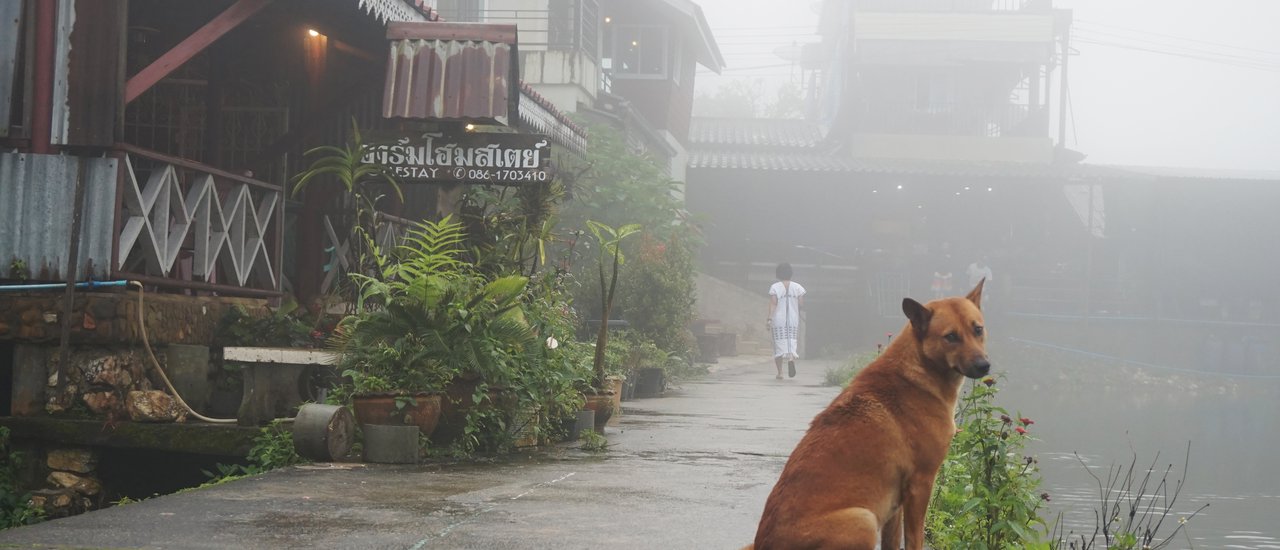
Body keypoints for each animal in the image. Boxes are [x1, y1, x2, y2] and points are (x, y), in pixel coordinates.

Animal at [747, 281, 988, 547]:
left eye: (978, 329)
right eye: (951, 337)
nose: (984, 366)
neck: (917, 371)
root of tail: (763, 543)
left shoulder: (896, 503)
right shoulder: (921, 484)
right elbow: (915, 539)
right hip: (864, 519)